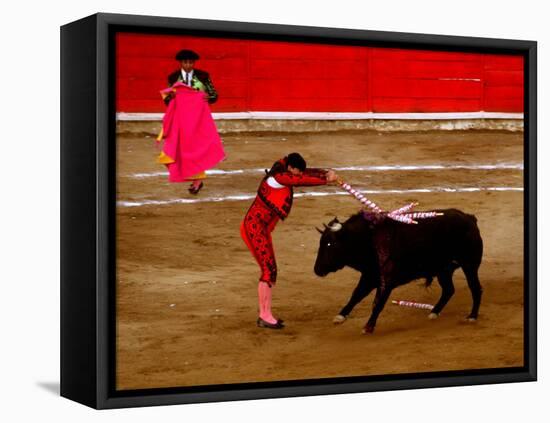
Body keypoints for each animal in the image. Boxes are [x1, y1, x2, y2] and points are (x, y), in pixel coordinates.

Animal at [312, 209, 486, 334]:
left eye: (329, 244)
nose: (317, 270)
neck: (369, 241)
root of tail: (469, 218)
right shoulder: (369, 276)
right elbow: (356, 295)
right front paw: (340, 316)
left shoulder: (387, 282)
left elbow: (378, 303)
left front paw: (368, 327)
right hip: (443, 270)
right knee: (449, 290)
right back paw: (434, 313)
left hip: (470, 265)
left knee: (475, 288)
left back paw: (472, 316)